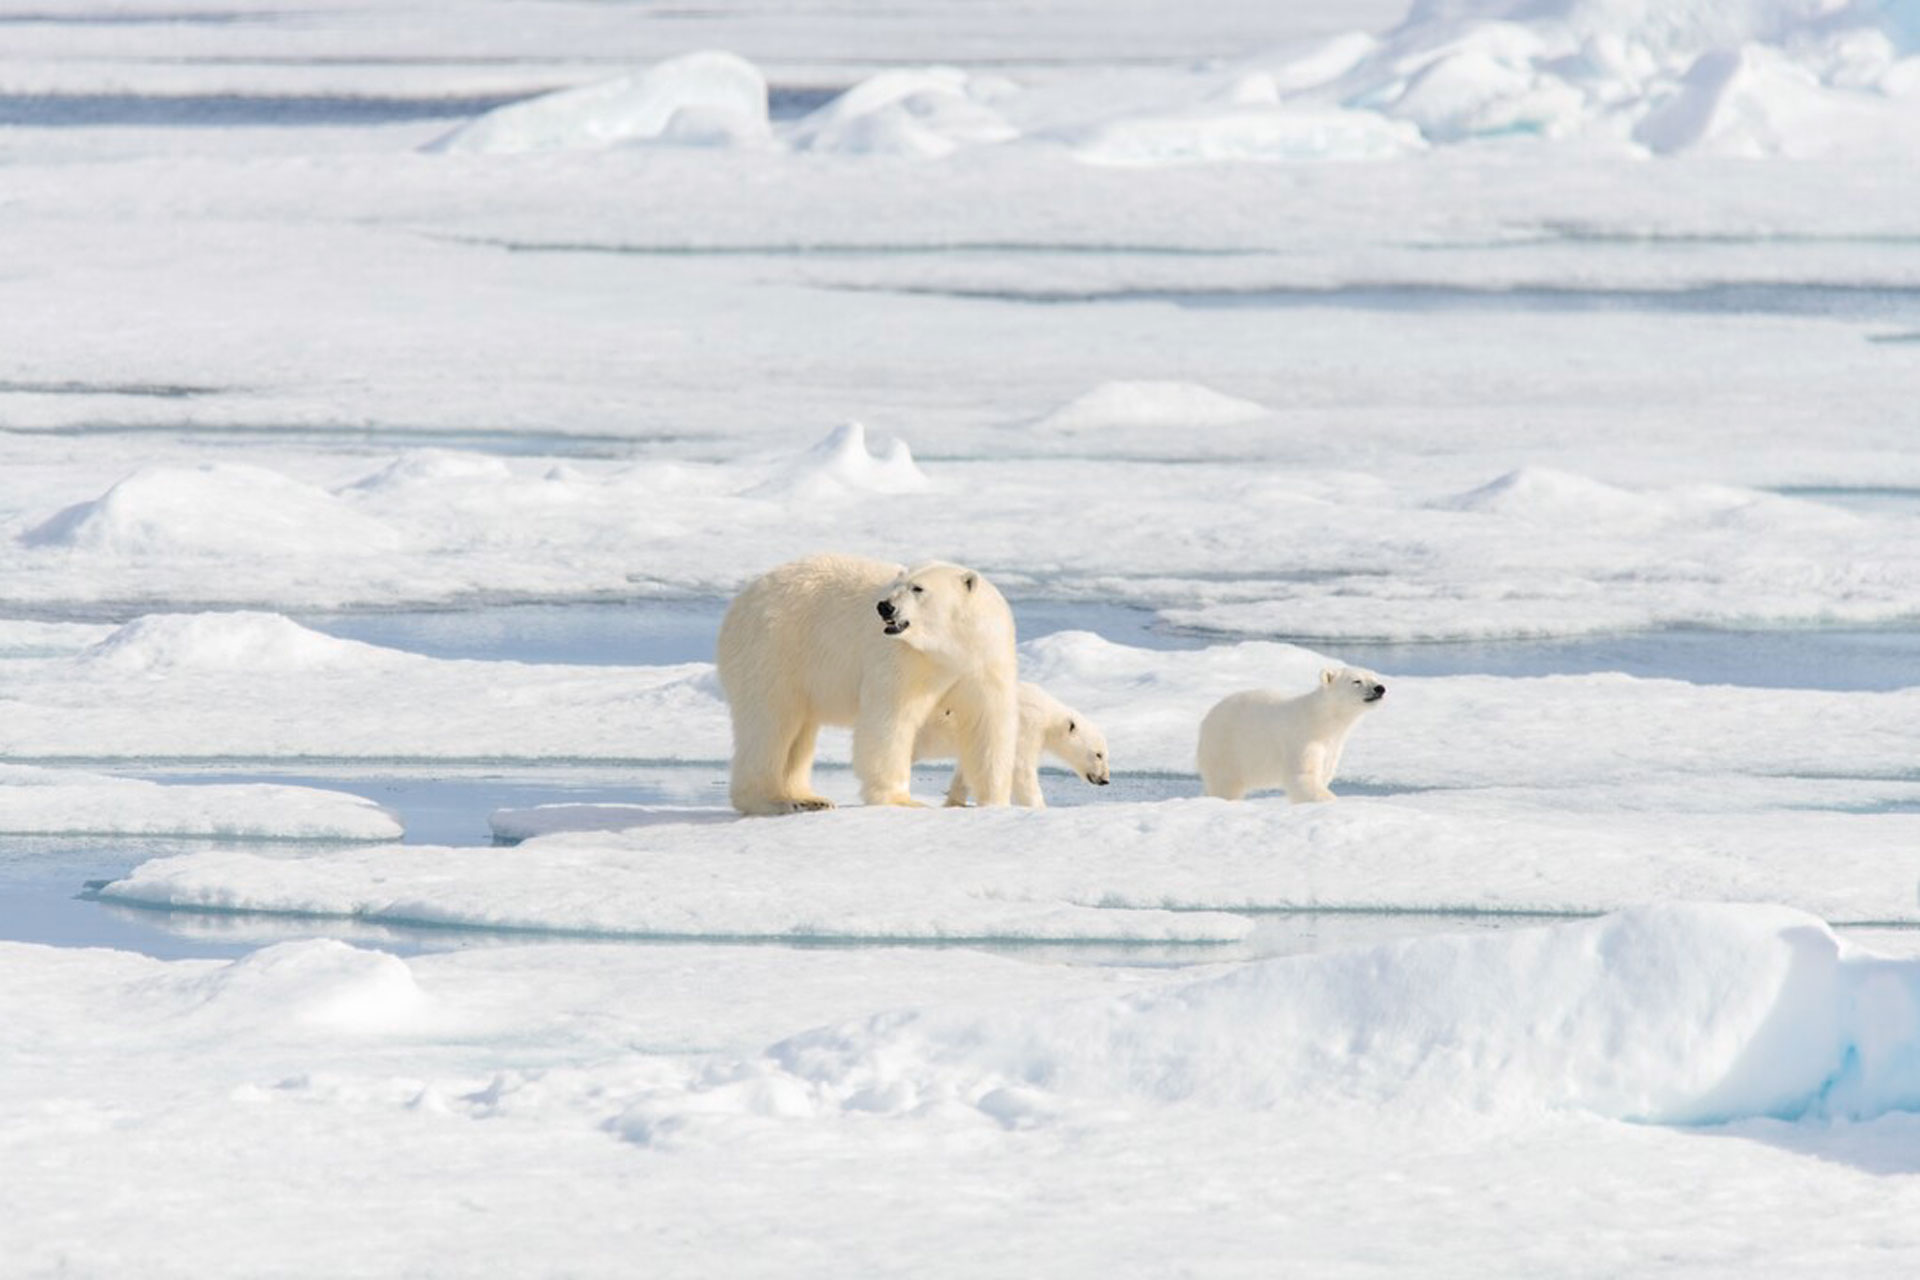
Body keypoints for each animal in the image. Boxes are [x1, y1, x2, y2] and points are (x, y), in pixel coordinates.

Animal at [718, 552, 1021, 817]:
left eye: (918, 588)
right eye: (897, 584)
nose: (885, 606)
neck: (949, 651)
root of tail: (739, 602)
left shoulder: (985, 661)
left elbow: (987, 726)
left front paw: (996, 802)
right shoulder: (904, 660)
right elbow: (889, 721)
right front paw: (902, 801)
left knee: (798, 735)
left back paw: (809, 798)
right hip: (774, 648)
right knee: (770, 723)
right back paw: (772, 801)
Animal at [913, 687, 1113, 805]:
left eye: (1105, 754)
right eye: (1098, 754)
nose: (1105, 780)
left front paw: (955, 802)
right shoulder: (1025, 727)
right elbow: (1020, 769)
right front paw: (1038, 807)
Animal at [1198, 671, 1382, 802]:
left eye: (1373, 677)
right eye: (1356, 681)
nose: (1380, 688)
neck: (1321, 720)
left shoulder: (1332, 745)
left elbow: (1322, 774)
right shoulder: (1302, 738)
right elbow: (1304, 775)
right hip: (1226, 747)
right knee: (1225, 784)